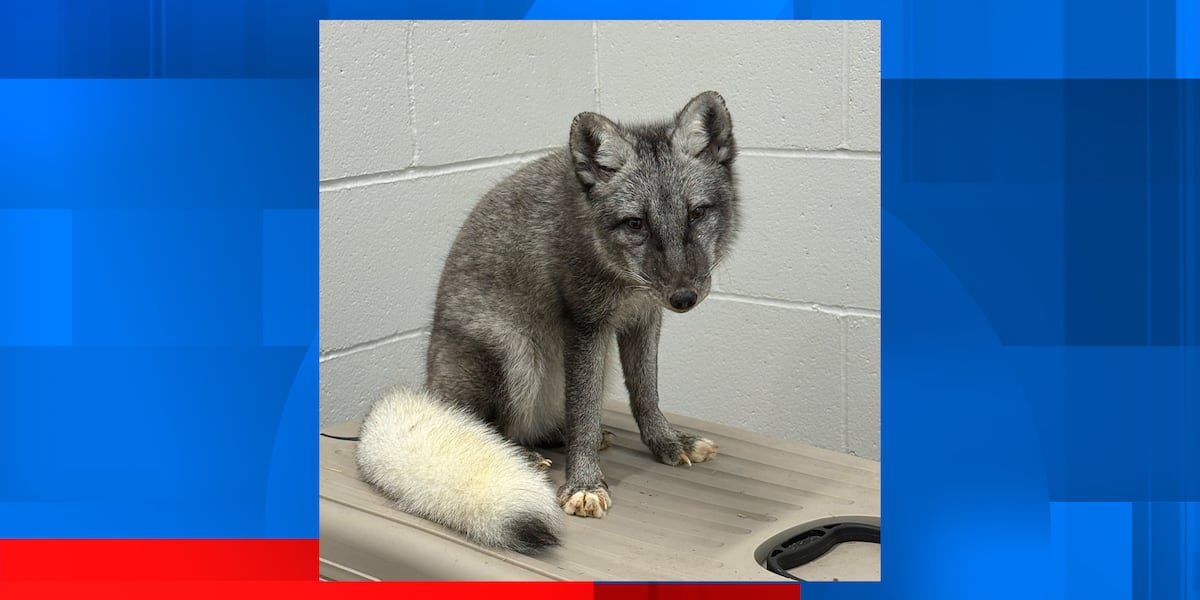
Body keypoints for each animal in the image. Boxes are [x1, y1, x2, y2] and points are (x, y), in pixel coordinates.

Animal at [355, 91, 741, 554]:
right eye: (635, 223)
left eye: (697, 213)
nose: (684, 298)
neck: (621, 276)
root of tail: (431, 391)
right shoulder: (586, 324)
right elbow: (584, 412)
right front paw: (585, 483)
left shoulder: (642, 319)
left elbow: (645, 395)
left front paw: (666, 442)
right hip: (516, 353)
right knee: (488, 426)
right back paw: (521, 455)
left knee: (549, 423)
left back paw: (560, 437)